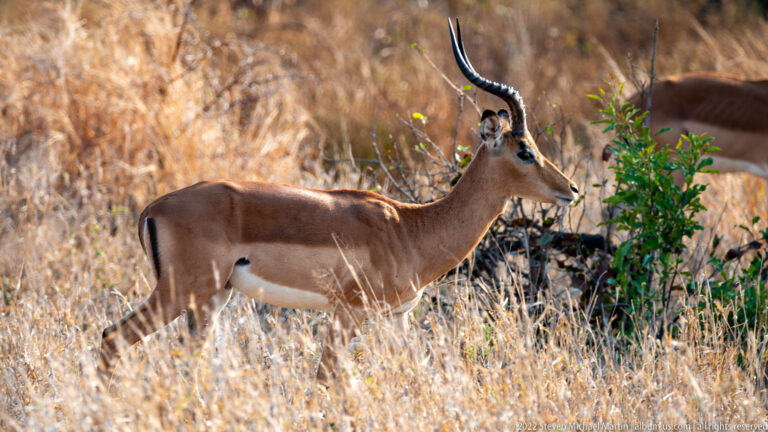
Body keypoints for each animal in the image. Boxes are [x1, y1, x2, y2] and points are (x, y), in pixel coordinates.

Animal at [98, 18, 579, 385]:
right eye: (525, 151)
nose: (572, 189)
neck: (411, 228)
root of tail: (153, 208)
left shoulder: (397, 317)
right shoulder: (350, 312)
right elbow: (325, 377)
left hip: (211, 300)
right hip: (181, 293)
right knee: (111, 338)